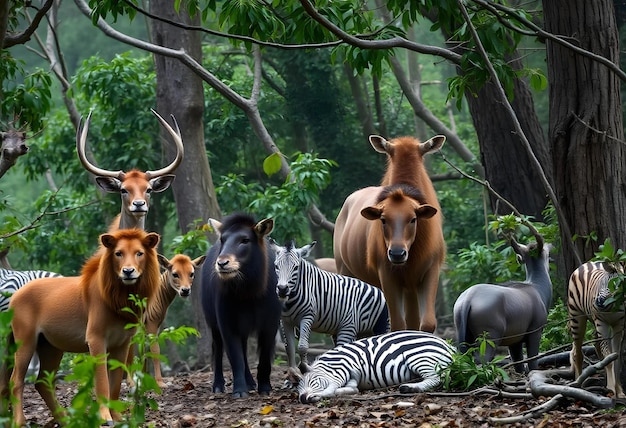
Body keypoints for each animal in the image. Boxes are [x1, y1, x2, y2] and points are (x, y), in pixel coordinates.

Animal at [270, 241, 388, 374]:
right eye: (276, 266)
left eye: (296, 267)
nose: (282, 289)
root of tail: (378, 291)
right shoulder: (285, 321)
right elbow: (289, 348)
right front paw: (293, 373)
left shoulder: (307, 316)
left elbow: (302, 346)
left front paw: (305, 368)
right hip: (359, 331)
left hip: (364, 327)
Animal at [292, 330, 454, 402]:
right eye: (298, 389)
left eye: (313, 381)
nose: (303, 398)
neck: (330, 364)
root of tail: (449, 345)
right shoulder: (351, 377)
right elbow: (351, 389)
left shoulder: (341, 369)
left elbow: (331, 389)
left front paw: (319, 395)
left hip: (419, 357)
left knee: (437, 379)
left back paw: (410, 388)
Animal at [564, 260, 624, 398]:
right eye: (604, 283)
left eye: (618, 287)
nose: (599, 302)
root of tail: (587, 263)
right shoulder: (602, 323)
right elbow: (609, 359)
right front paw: (612, 390)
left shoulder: (619, 326)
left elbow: (616, 359)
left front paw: (619, 391)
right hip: (577, 318)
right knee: (577, 353)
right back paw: (578, 383)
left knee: (597, 348)